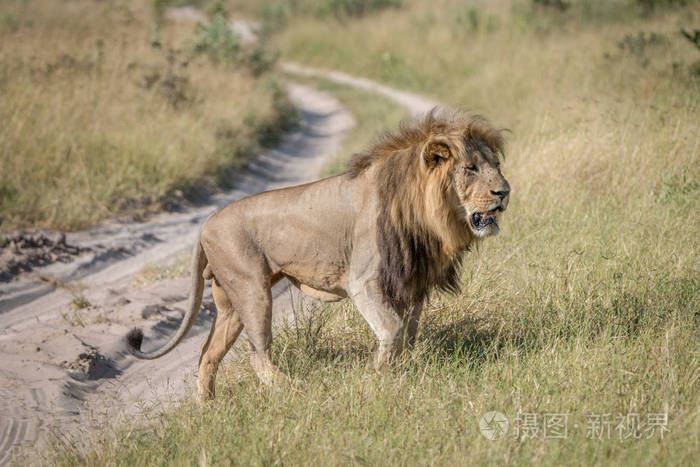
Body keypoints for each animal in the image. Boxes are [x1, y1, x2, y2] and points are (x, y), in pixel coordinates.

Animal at [127, 110, 508, 402]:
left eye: (495, 165)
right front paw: (380, 379)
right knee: (257, 355)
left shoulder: (410, 282)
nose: (504, 191)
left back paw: (208, 408)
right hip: (252, 291)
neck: (424, 213)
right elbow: (392, 329)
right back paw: (292, 391)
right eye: (470, 168)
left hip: (230, 302)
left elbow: (408, 333)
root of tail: (205, 225)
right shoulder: (364, 281)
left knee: (207, 354)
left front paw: (401, 373)